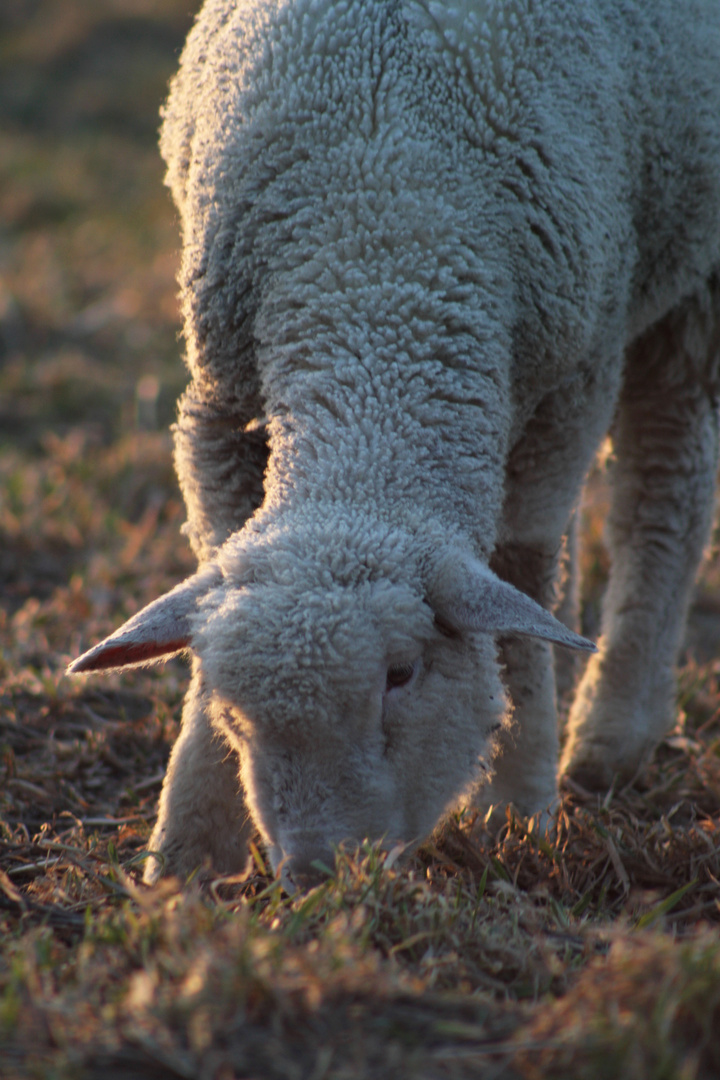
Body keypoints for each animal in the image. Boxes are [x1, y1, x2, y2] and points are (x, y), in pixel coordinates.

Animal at [69, 0, 720, 889]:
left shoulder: (571, 387)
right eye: (240, 711)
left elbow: (521, 575)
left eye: (402, 676)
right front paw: (188, 849)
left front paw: (514, 806)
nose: (316, 874)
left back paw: (611, 734)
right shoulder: (218, 405)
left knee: (665, 480)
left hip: (690, 275)